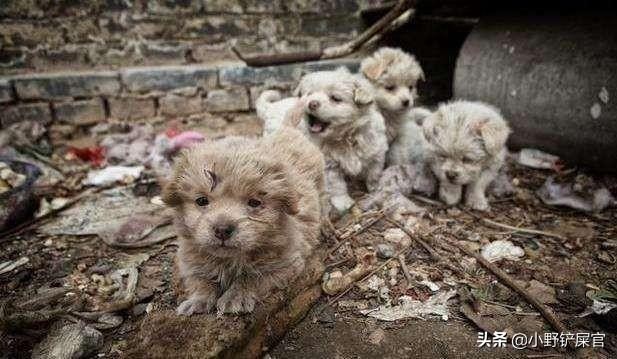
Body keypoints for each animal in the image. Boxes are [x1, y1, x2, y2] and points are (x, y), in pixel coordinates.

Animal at [164, 111, 328, 316]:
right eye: (201, 201)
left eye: (254, 203)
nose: (222, 230)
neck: (230, 260)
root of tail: (288, 130)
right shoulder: (190, 260)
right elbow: (200, 279)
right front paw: (197, 300)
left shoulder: (285, 264)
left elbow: (252, 277)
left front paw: (236, 296)